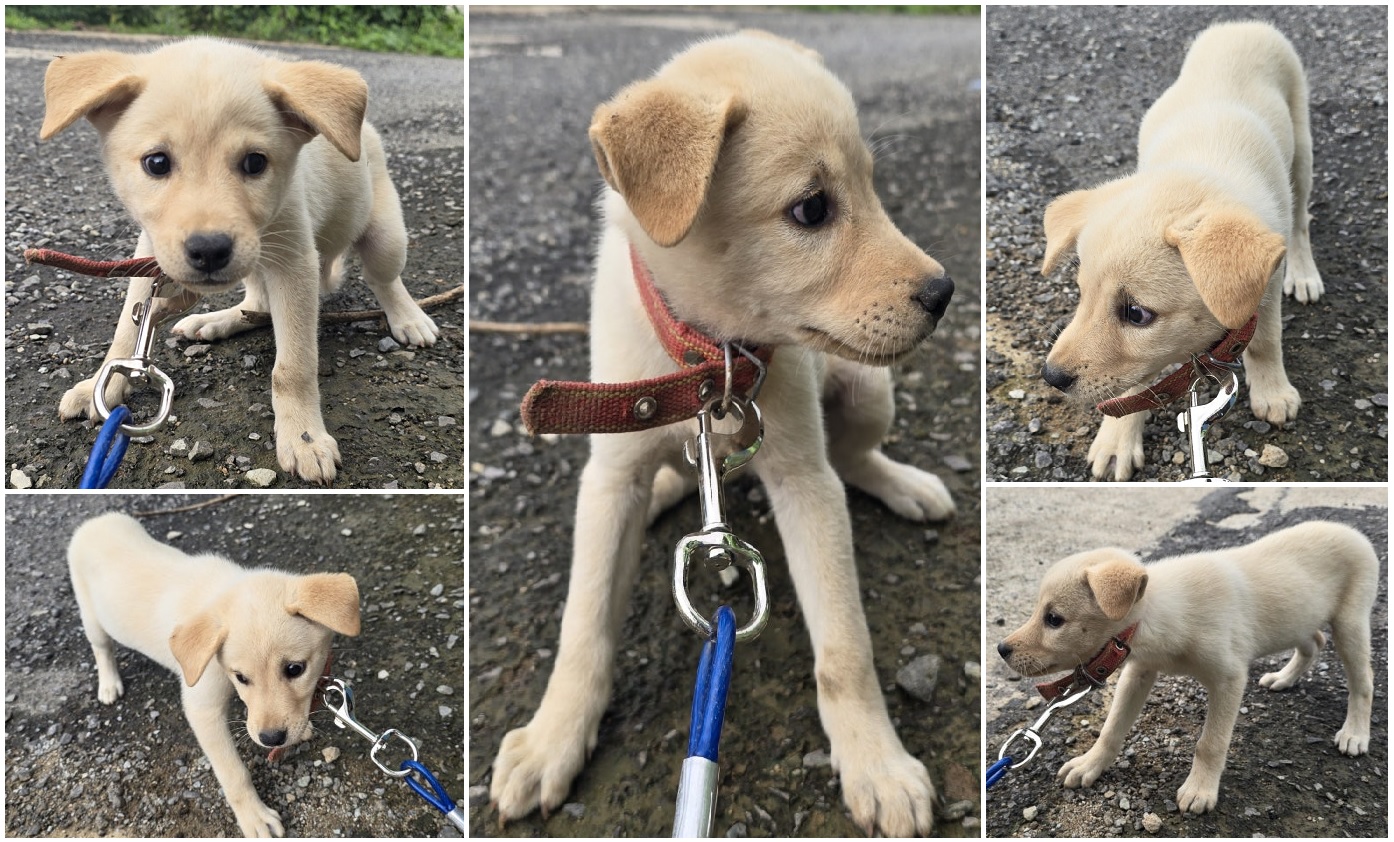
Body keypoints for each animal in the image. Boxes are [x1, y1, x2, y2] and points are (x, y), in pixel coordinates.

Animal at [39, 39, 440, 482]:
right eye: (156, 162)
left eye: (255, 162)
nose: (209, 249)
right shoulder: (150, 254)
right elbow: (128, 331)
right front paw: (102, 384)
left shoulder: (295, 264)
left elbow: (293, 366)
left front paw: (304, 437)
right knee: (257, 303)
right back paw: (215, 321)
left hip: (385, 233)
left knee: (385, 279)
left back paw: (409, 318)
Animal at [67, 513, 362, 836]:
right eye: (241, 677)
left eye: (295, 669)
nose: (271, 738)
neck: (223, 592)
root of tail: (97, 520)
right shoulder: (202, 709)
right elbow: (234, 774)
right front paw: (255, 818)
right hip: (90, 616)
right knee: (102, 648)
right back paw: (109, 684)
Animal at [490, 29, 959, 830]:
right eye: (812, 209)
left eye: (872, 185)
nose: (943, 293)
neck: (709, 360)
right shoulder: (610, 471)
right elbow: (583, 623)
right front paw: (554, 738)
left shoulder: (804, 480)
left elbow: (845, 643)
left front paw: (876, 762)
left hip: (867, 390)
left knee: (856, 456)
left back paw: (903, 484)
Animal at [998, 524, 1377, 814]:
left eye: (1054, 619)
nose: (1001, 650)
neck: (1158, 614)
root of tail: (1352, 531)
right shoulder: (1138, 673)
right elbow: (1111, 728)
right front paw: (1090, 764)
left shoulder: (1229, 678)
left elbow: (1210, 743)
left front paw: (1200, 790)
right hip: (1299, 618)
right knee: (1314, 641)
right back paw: (1285, 678)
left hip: (1349, 623)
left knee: (1363, 682)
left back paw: (1355, 733)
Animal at [1042, 21, 1321, 479]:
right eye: (1081, 294)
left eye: (1136, 313)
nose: (1051, 376)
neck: (1197, 168)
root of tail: (1241, 25)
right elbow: (1134, 383)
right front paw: (1117, 439)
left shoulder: (1266, 284)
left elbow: (1265, 339)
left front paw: (1273, 392)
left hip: (1302, 149)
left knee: (1301, 221)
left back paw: (1306, 272)